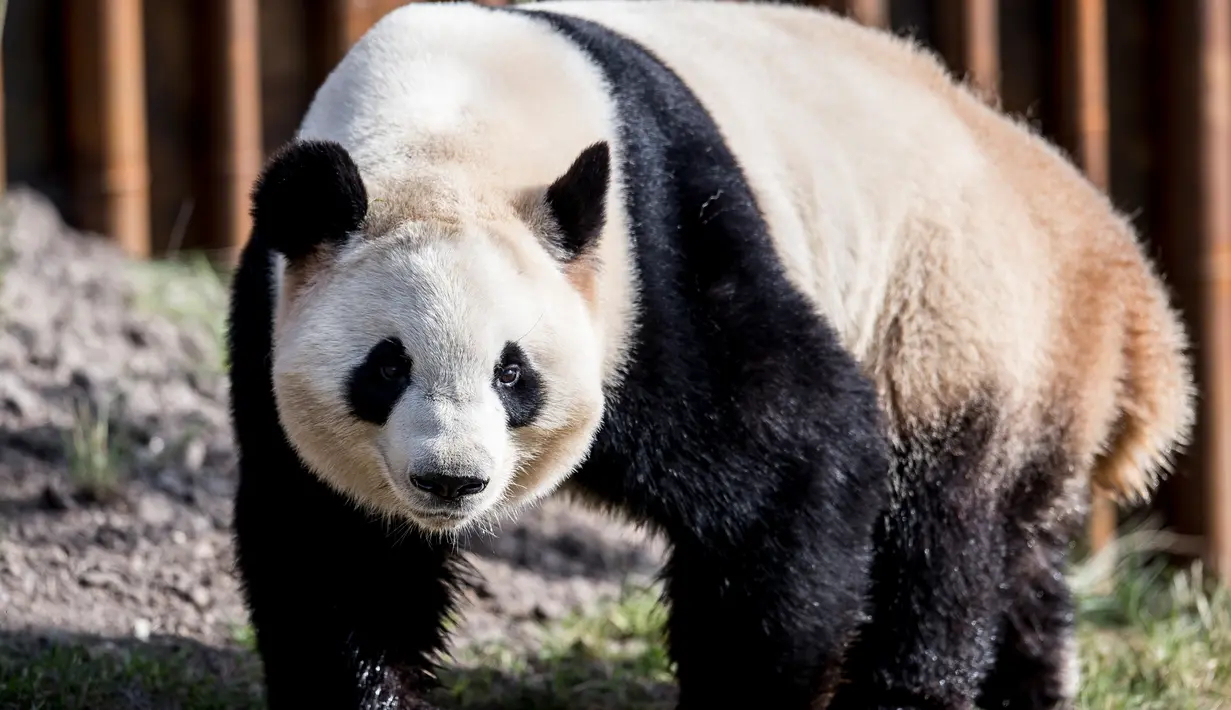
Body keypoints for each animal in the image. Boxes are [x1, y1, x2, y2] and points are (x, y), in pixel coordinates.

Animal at [225, 1, 1196, 709]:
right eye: (386, 366)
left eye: (513, 372)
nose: (451, 481)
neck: (451, 122)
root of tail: (1113, 261)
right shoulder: (276, 298)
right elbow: (335, 546)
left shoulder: (662, 263)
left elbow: (798, 459)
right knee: (1020, 553)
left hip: (953, 327)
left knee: (946, 541)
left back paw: (912, 689)